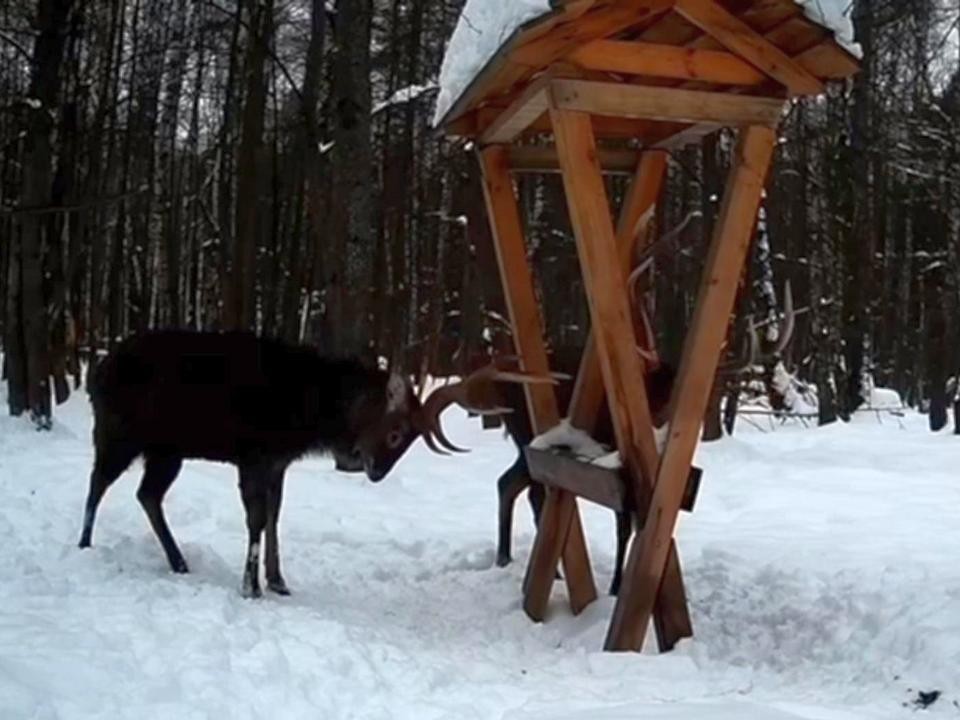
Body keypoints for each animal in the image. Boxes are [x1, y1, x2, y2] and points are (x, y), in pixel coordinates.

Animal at [78, 330, 552, 596]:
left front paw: (278, 581)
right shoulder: (254, 454)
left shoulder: (278, 462)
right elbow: (255, 519)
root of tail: (96, 372)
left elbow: (274, 516)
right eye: (396, 432)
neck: (310, 411)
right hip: (119, 432)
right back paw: (84, 546)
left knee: (146, 494)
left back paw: (178, 561)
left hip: (166, 450)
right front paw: (251, 587)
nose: (375, 472)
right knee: (98, 483)